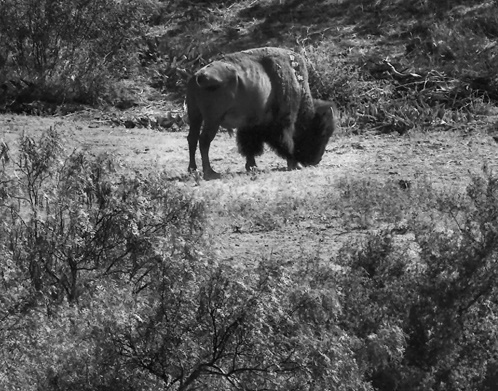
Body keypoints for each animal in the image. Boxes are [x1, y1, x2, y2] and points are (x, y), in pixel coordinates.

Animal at [187, 46, 338, 180]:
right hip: (212, 120)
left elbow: (249, 145)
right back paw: (210, 172)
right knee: (204, 140)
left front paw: (251, 166)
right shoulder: (284, 121)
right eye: (322, 133)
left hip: (195, 116)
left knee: (192, 139)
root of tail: (197, 76)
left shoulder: (249, 124)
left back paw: (193, 170)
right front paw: (294, 164)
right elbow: (286, 141)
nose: (317, 160)